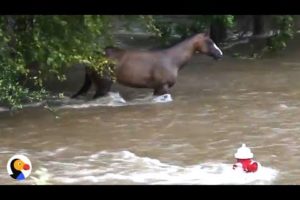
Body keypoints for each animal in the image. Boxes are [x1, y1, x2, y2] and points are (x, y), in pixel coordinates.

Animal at [72, 31, 223, 99]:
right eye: (210, 42)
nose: (220, 54)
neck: (172, 60)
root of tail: (91, 58)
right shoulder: (163, 87)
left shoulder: (157, 88)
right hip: (103, 86)